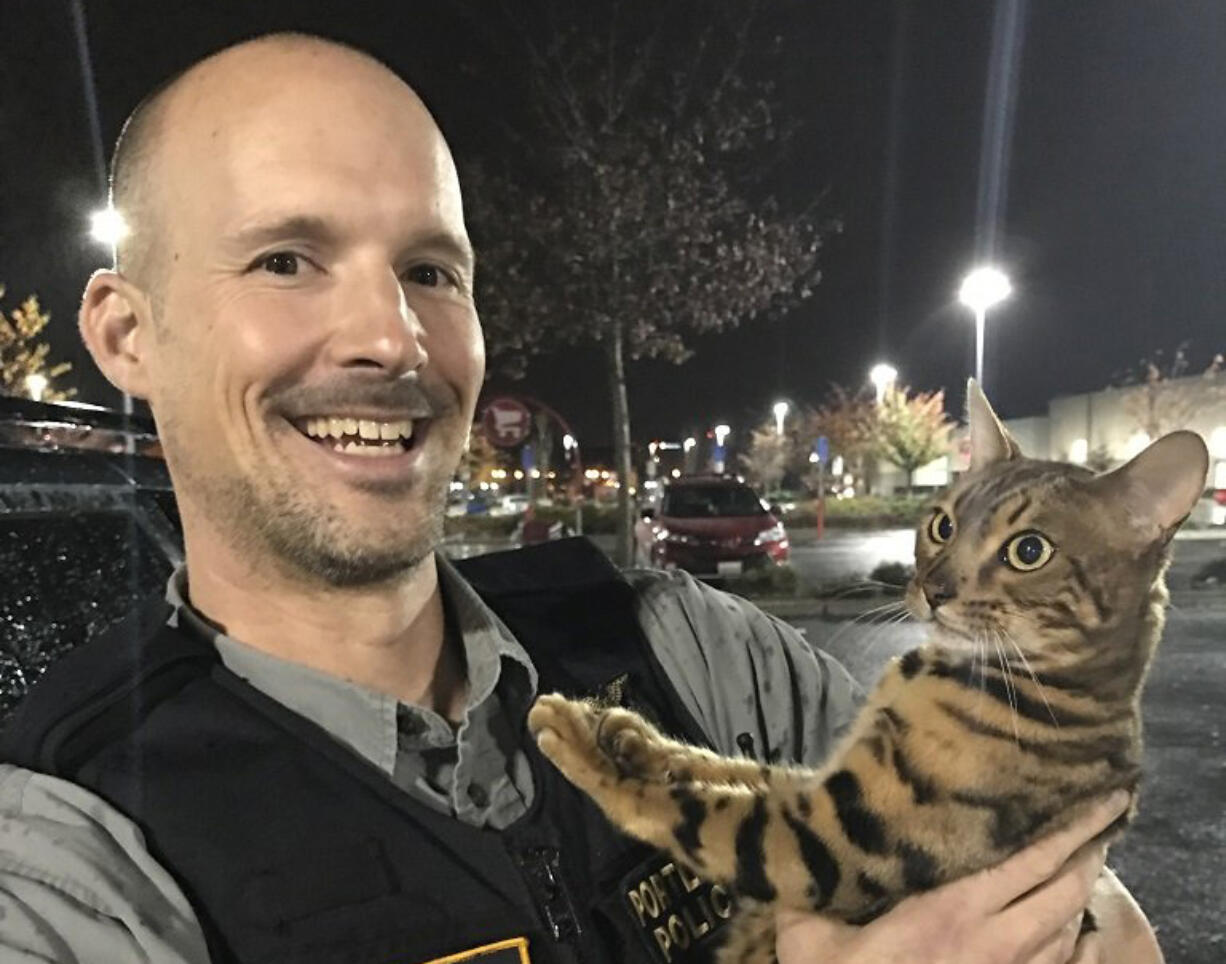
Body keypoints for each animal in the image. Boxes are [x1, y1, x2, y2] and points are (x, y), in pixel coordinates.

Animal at [527, 382, 1206, 961]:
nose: (933, 589)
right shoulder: (819, 785)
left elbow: (692, 810)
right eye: (942, 525)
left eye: (1029, 551)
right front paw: (636, 740)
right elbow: (731, 770)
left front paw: (580, 741)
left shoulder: (834, 844)